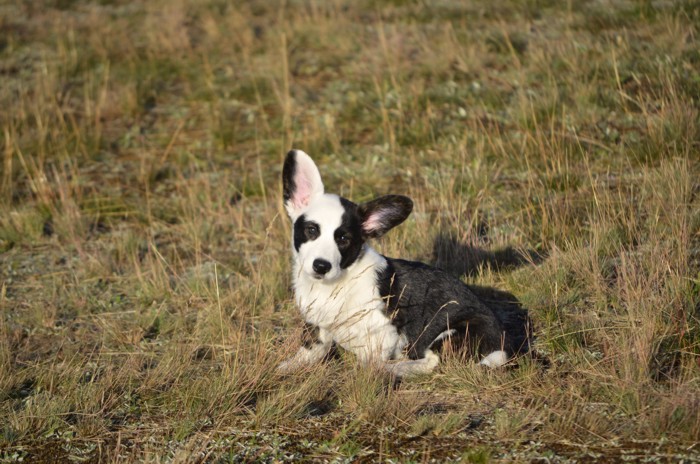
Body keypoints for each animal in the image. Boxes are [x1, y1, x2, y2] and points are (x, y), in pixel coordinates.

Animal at [278, 149, 523, 377]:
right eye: (311, 230)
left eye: (344, 239)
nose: (321, 266)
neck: (335, 283)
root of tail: (504, 346)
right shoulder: (319, 327)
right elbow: (310, 351)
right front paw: (285, 368)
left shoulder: (383, 333)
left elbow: (368, 364)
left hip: (448, 333)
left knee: (432, 362)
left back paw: (396, 368)